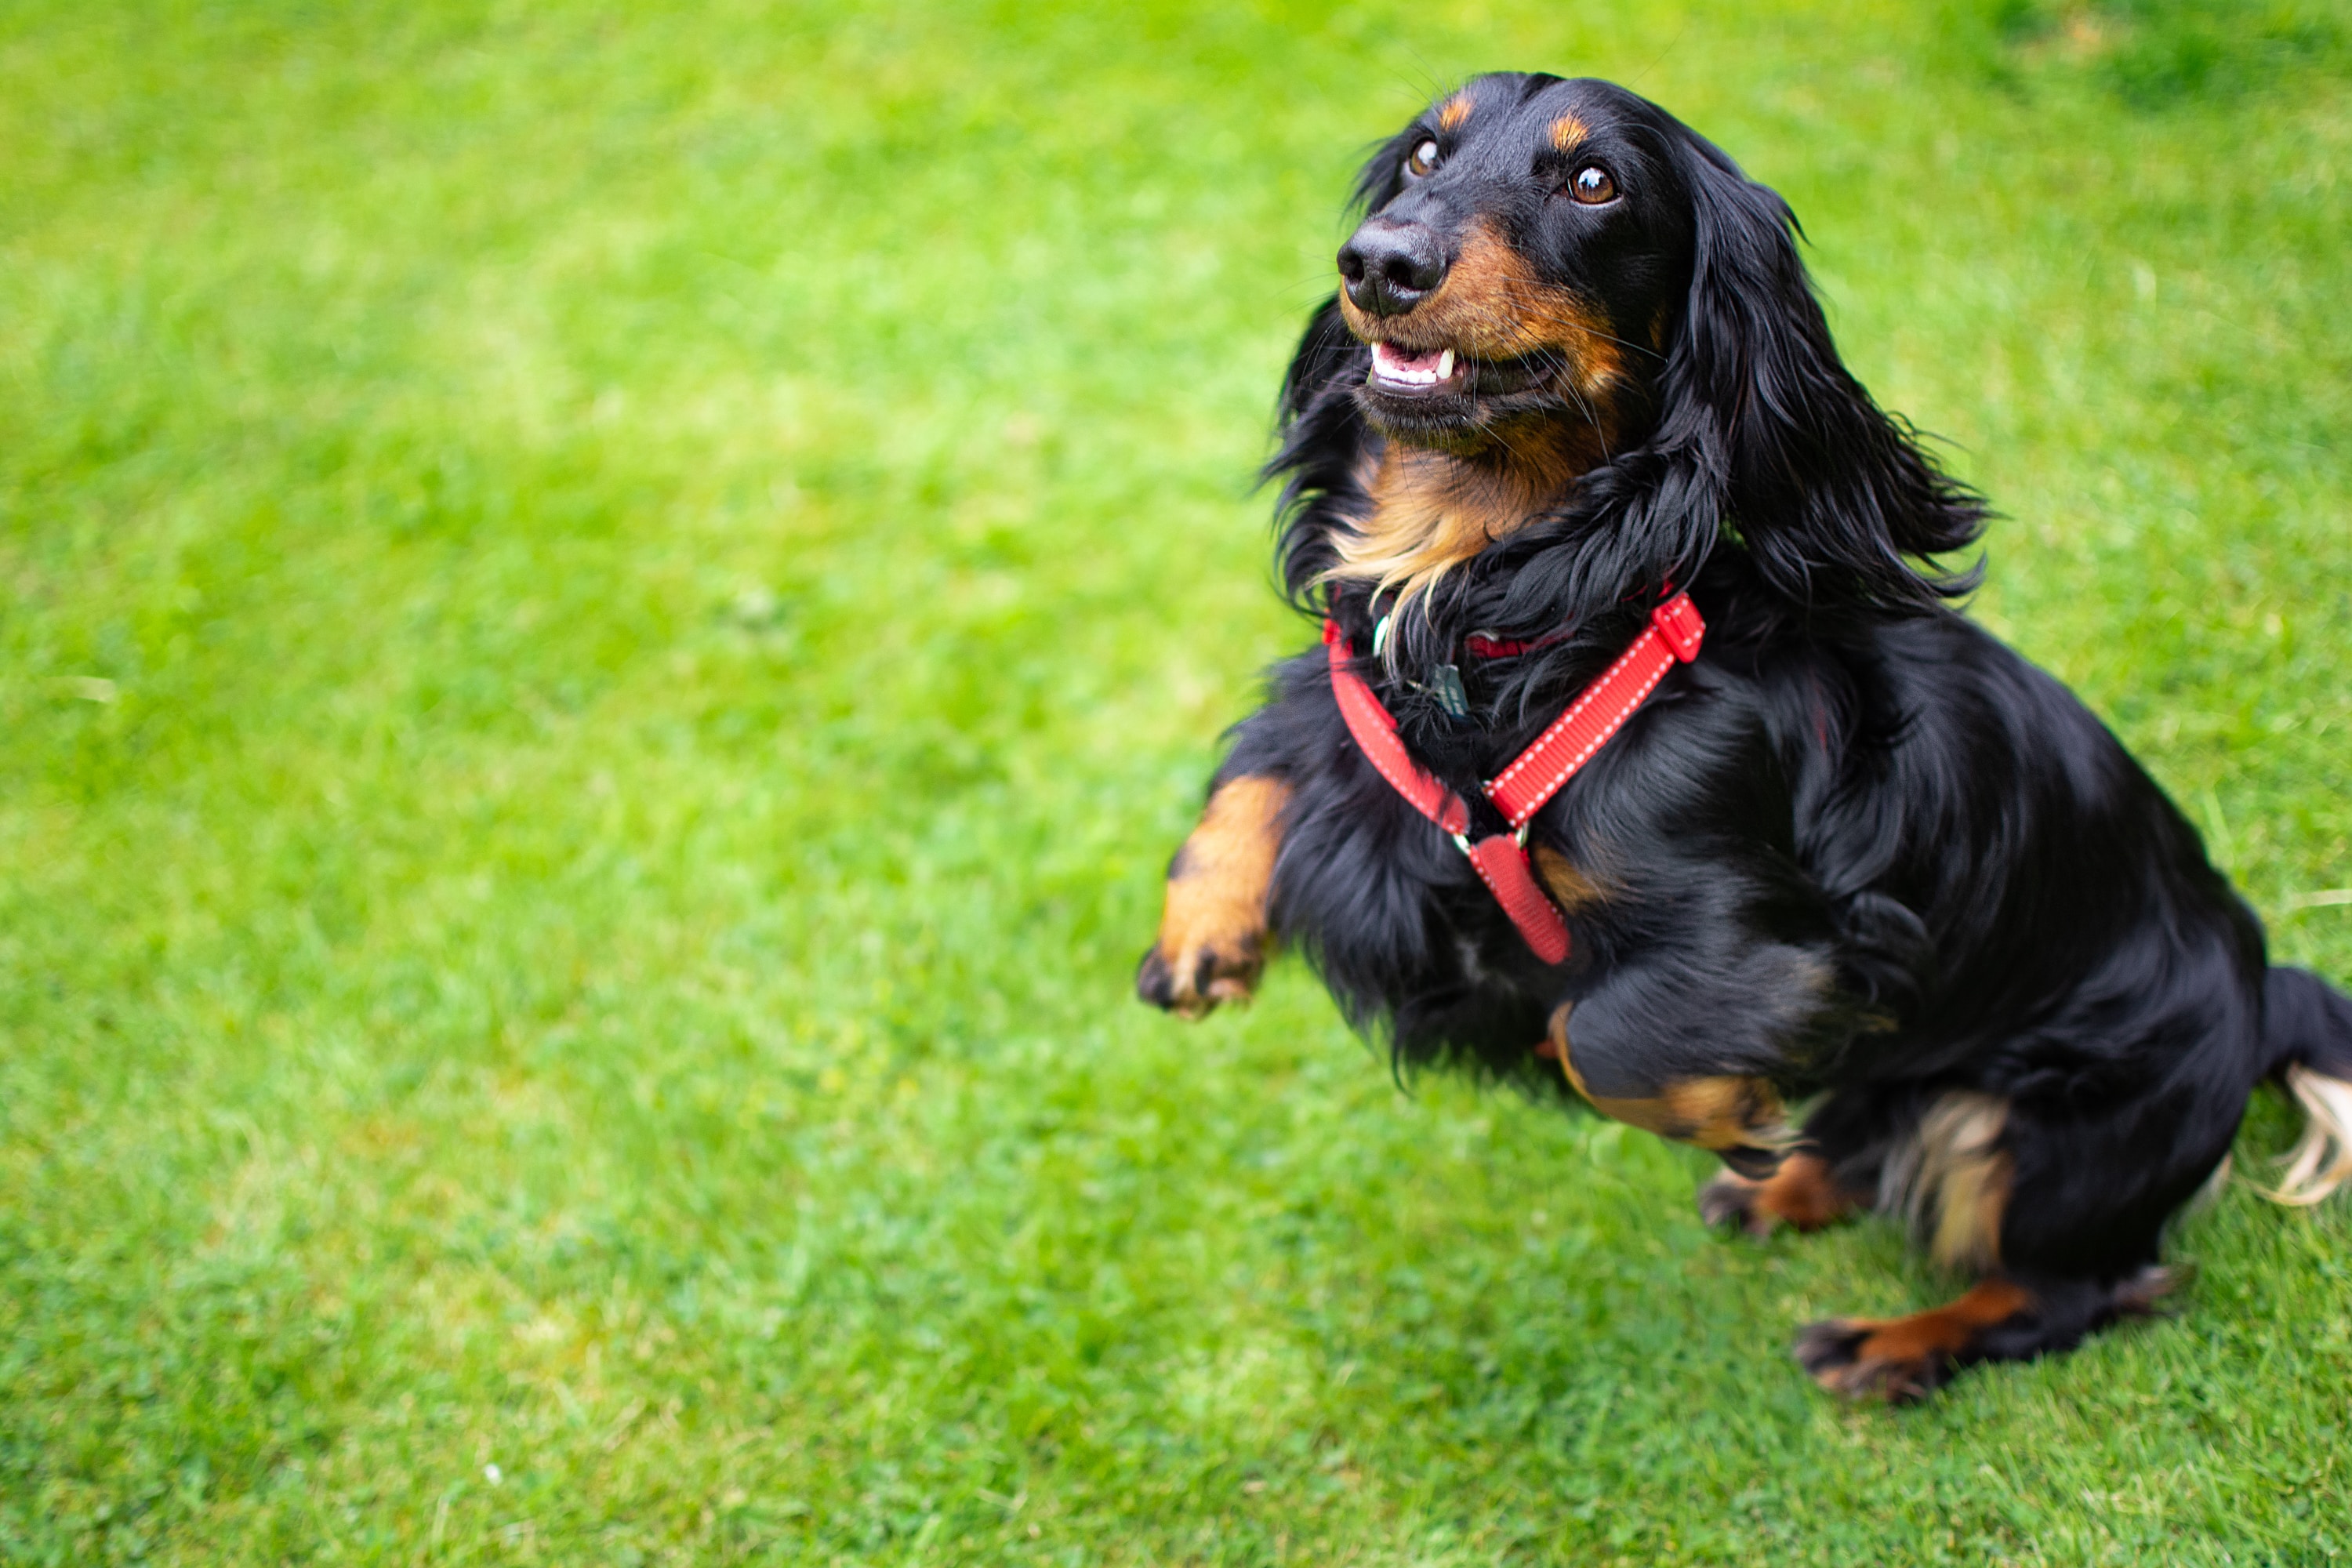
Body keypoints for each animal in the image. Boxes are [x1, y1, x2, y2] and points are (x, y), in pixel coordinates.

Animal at [1134, 73, 2352, 1401]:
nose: (1377, 263)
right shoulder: (1372, 702)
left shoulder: (1769, 931)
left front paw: (1729, 1112)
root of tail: (2266, 992)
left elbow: (1598, 1033)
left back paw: (1883, 1343)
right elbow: (1284, 741)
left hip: (2048, 1135)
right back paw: (1792, 1189)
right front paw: (1201, 934)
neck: (1510, 607)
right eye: (1421, 154)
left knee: (2069, 1290)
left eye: (1595, 182)